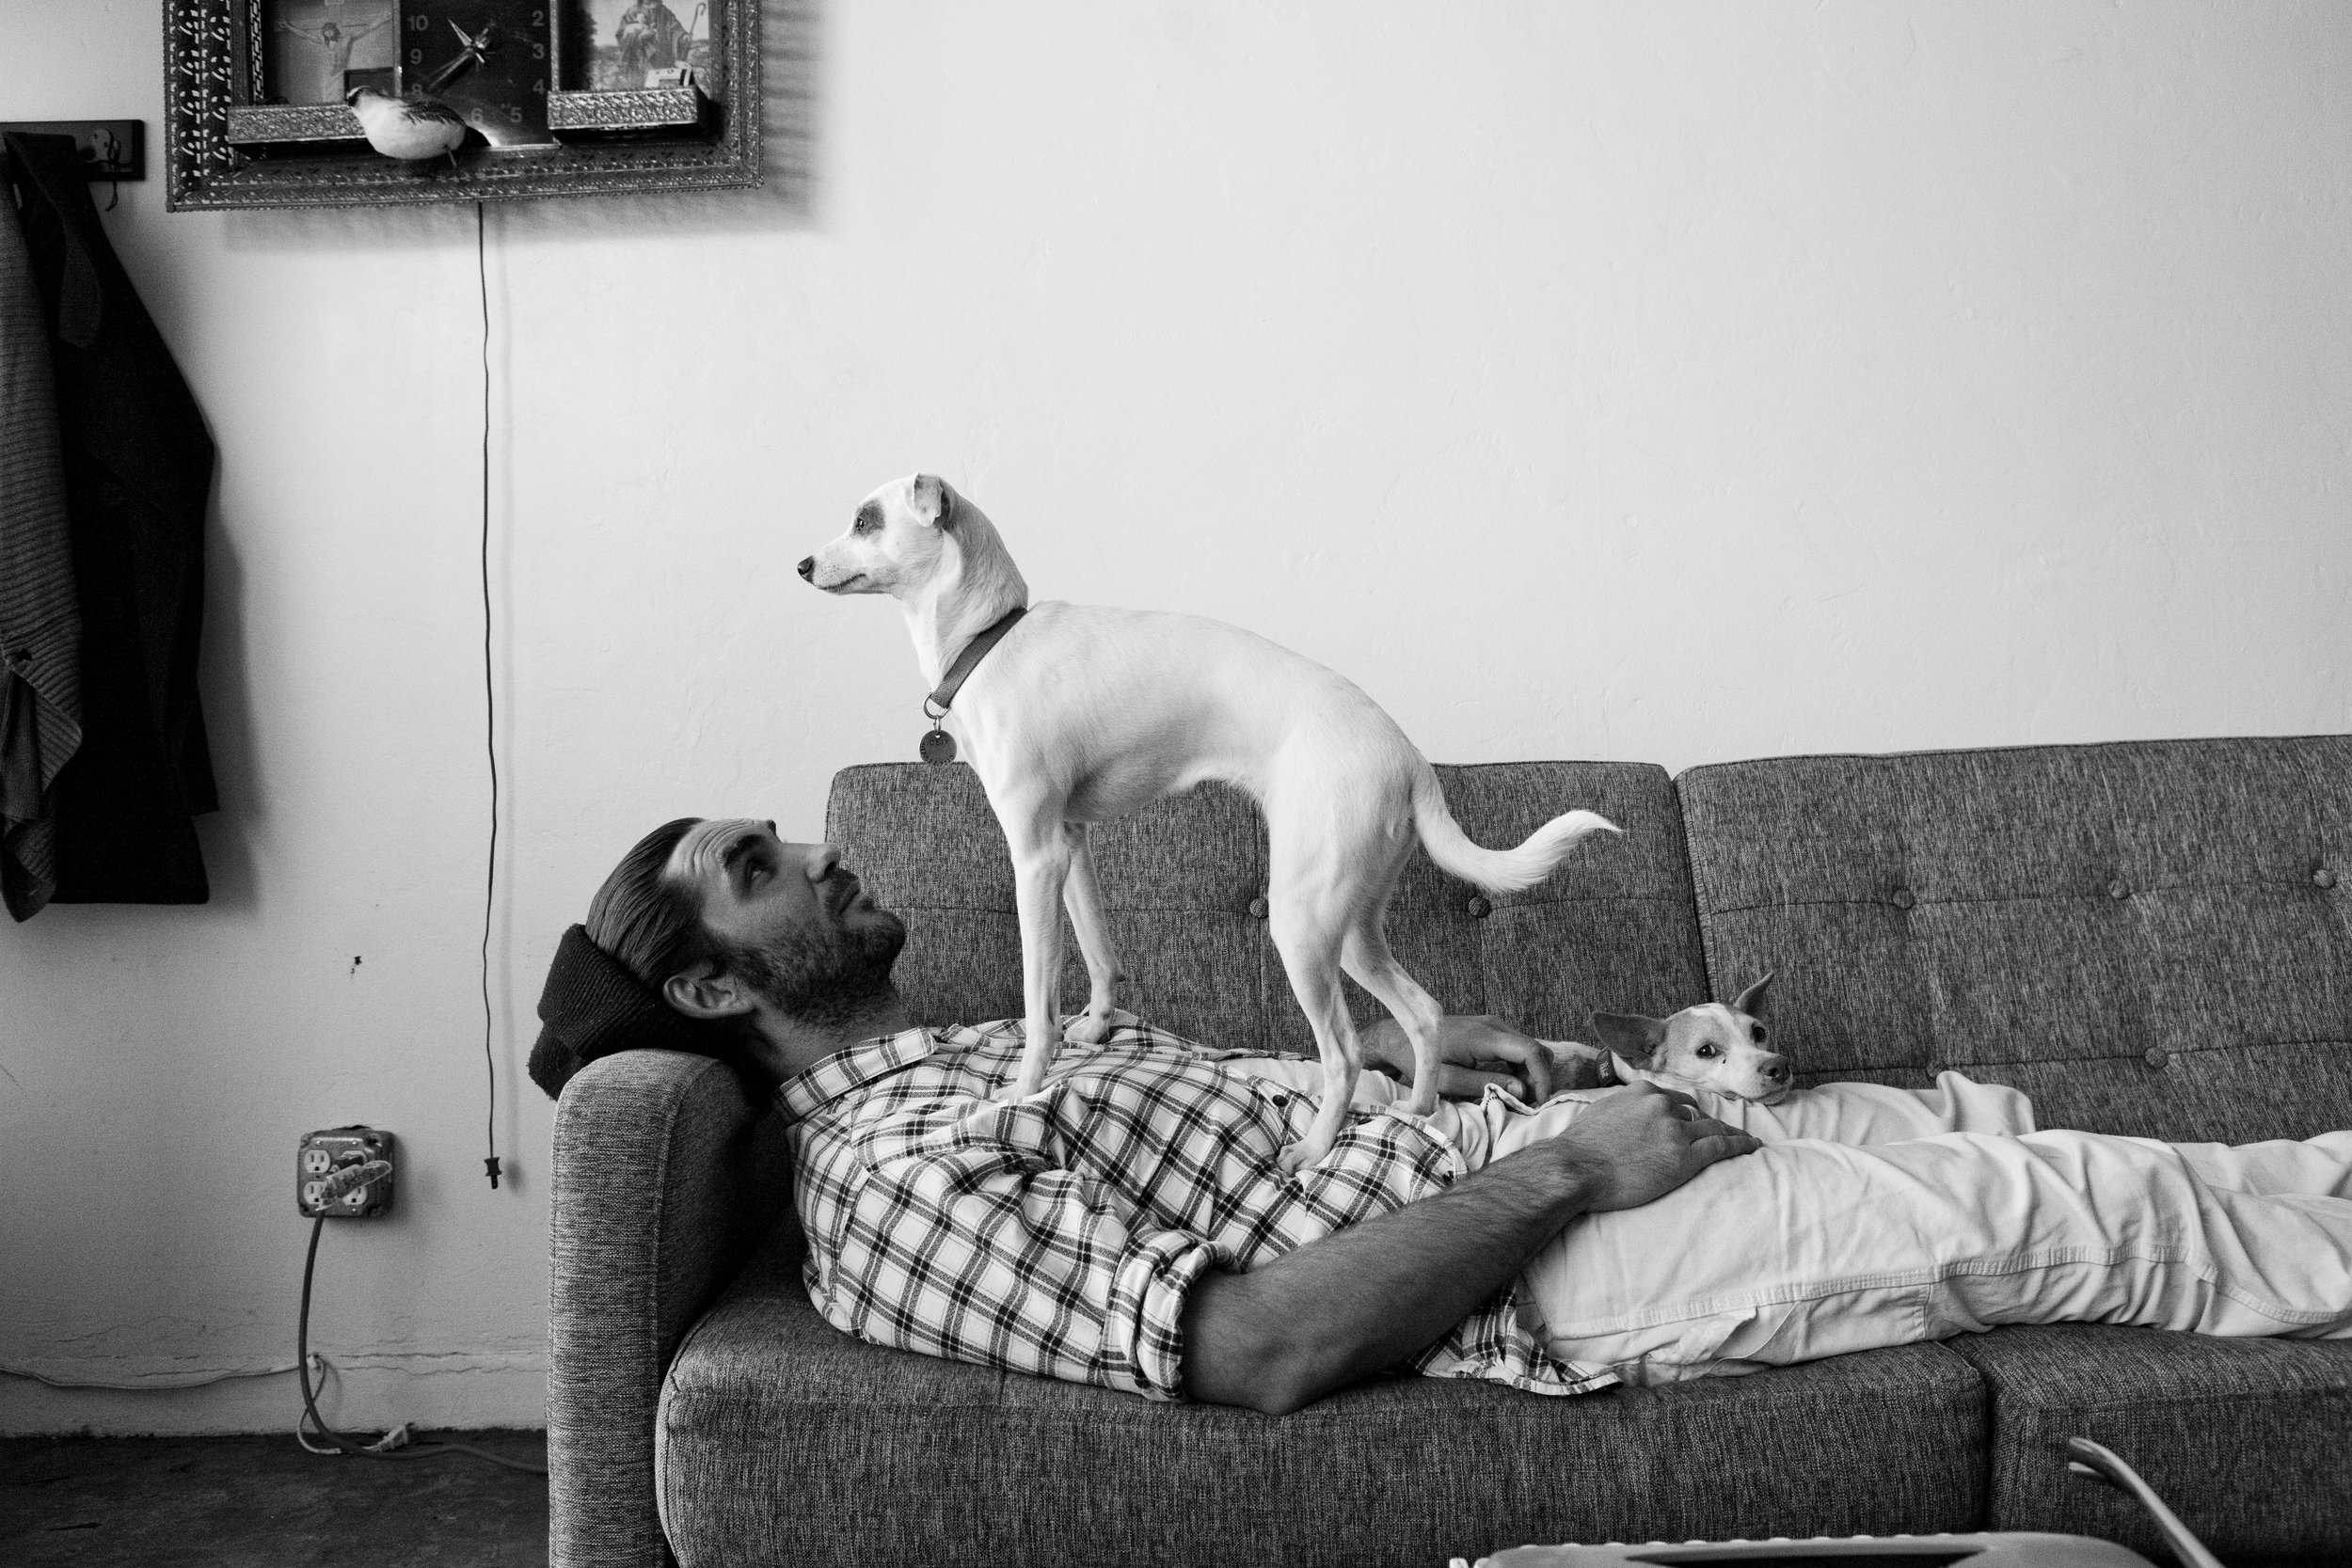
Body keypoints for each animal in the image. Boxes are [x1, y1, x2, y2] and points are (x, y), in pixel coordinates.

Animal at [799, 473, 1617, 1169]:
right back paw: (1415, 1114)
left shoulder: (1033, 854)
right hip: (1351, 925)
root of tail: (1410, 757)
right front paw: (1096, 1027)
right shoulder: (1071, 844)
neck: (992, 640)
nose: (802, 564)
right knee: (1423, 1012)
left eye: (866, 520)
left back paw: (1312, 1150)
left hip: (1301, 924)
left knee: (1346, 1053)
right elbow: (1100, 951)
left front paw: (1024, 1087)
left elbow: (1038, 998)